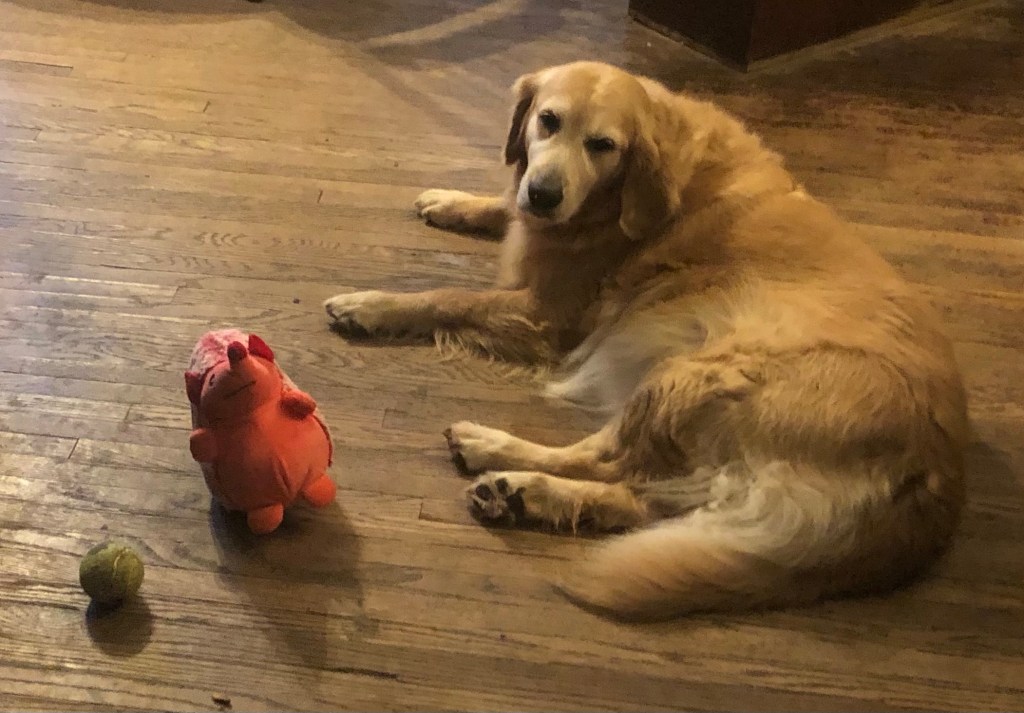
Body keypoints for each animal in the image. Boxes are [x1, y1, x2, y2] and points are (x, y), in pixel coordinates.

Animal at [324, 61, 969, 620]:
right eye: (547, 120)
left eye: (603, 145)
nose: (545, 193)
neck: (623, 199)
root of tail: (937, 481)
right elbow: (503, 209)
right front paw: (454, 202)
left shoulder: (548, 312)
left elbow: (446, 297)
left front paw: (371, 305)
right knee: (642, 495)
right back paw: (527, 497)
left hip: (696, 373)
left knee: (605, 459)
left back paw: (497, 452)